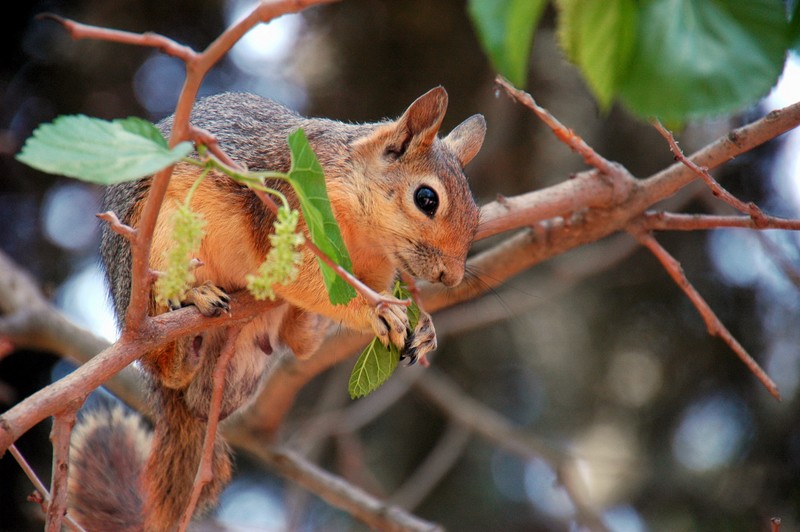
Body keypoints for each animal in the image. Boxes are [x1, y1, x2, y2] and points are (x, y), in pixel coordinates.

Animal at [65, 85, 484, 528]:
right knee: (161, 361)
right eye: (426, 199)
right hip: (156, 248)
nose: (451, 278)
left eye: (476, 214)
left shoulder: (374, 269)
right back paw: (188, 316)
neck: (366, 237)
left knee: (296, 342)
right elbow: (304, 281)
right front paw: (378, 312)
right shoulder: (290, 213)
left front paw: (425, 327)